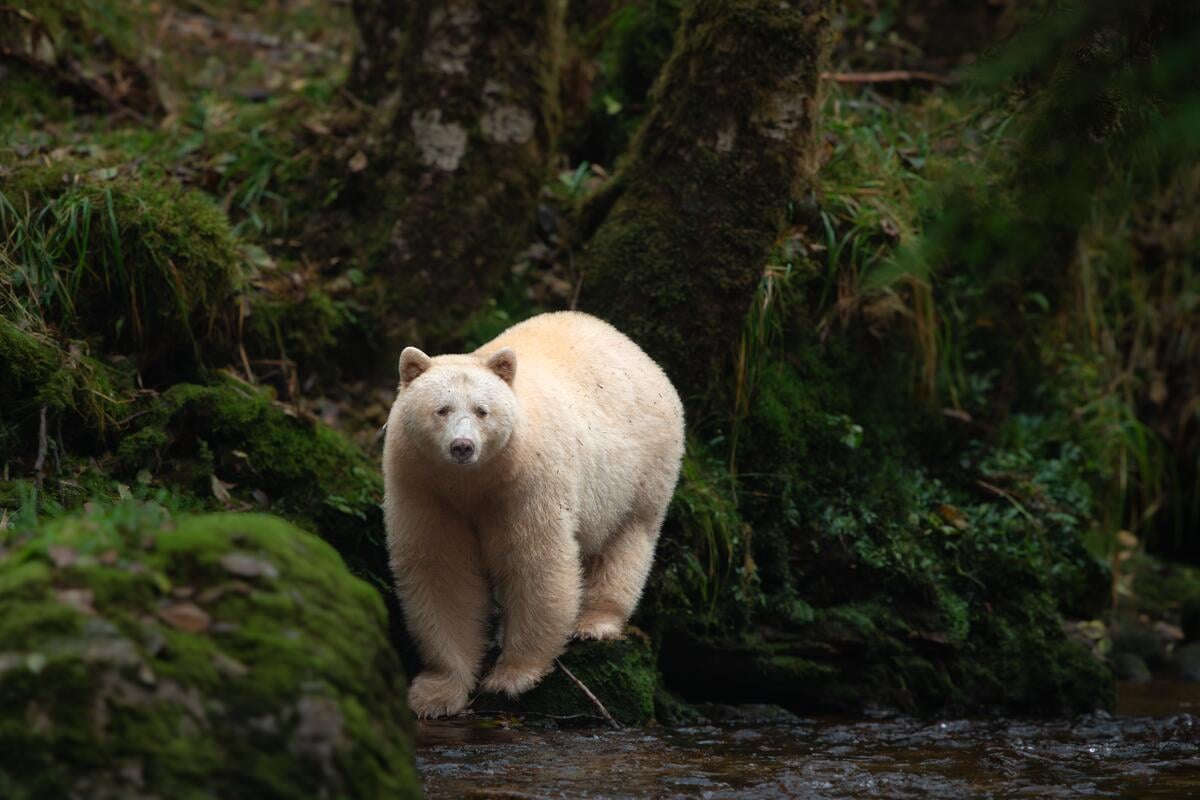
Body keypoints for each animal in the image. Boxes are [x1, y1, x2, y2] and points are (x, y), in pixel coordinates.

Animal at [382, 311, 685, 719]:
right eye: (441, 409)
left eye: (482, 410)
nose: (463, 446)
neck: (471, 482)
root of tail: (633, 348)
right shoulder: (423, 486)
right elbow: (442, 569)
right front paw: (436, 693)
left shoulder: (526, 481)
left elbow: (535, 561)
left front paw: (511, 675)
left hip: (643, 466)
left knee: (628, 538)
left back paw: (595, 621)